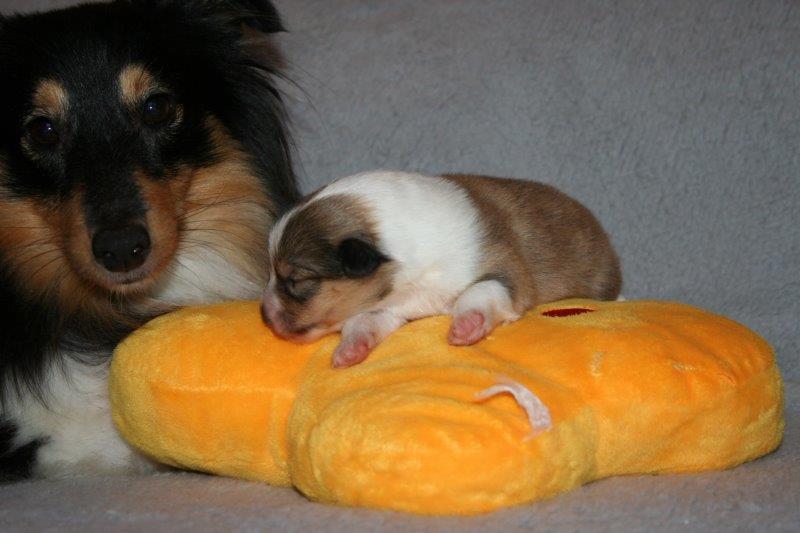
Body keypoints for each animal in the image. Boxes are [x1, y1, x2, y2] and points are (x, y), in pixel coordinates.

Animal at [262, 171, 622, 368]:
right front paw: (349, 350)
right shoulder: (386, 304)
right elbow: (363, 321)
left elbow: (482, 290)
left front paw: (467, 325)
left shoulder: (505, 268)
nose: (264, 316)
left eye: (295, 280)